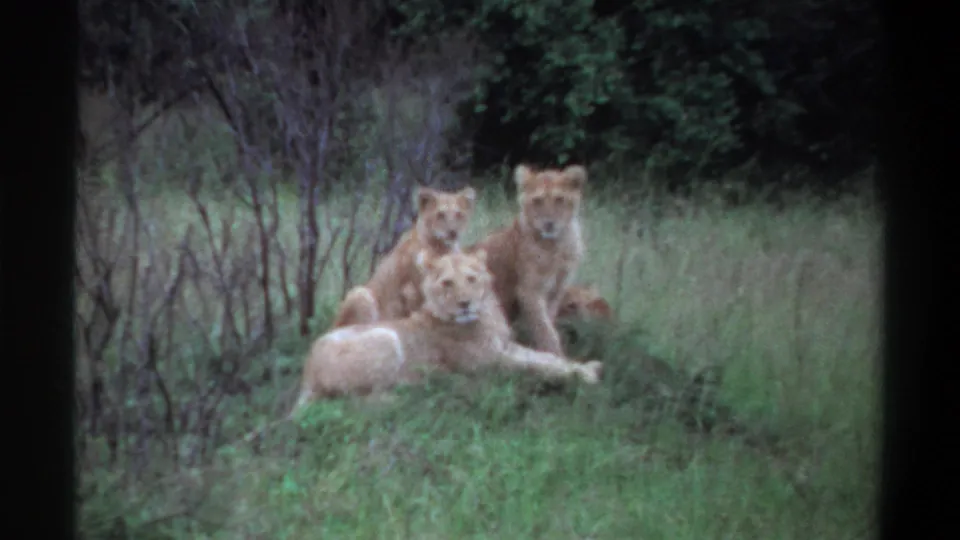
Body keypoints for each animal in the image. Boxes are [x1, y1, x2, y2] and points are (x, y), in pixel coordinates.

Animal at [291, 249, 603, 412]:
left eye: (471, 279)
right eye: (447, 283)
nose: (465, 304)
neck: (486, 315)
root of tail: (305, 373)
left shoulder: (503, 346)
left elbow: (546, 358)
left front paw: (586, 366)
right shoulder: (489, 363)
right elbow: (537, 367)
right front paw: (584, 375)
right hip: (386, 337)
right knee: (355, 401)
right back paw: (417, 391)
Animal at [331, 185, 477, 328]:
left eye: (459, 214)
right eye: (440, 215)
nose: (453, 232)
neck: (443, 247)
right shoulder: (411, 291)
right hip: (359, 294)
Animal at [468, 163, 588, 356]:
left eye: (559, 199)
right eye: (537, 201)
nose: (549, 224)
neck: (556, 244)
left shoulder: (557, 289)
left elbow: (548, 322)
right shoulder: (529, 291)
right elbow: (545, 328)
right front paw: (556, 355)